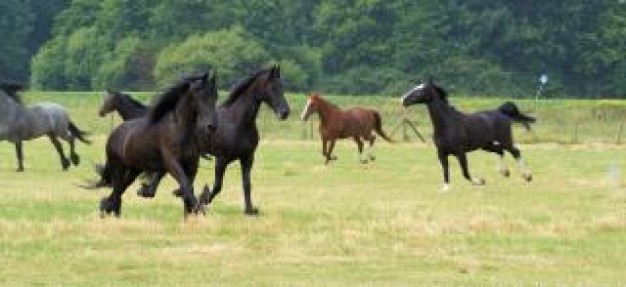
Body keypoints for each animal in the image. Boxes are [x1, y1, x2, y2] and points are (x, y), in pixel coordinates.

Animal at [90, 73, 217, 218]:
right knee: (117, 193)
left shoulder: (192, 165)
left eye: (215, 96)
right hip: (118, 168)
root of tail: (113, 134)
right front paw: (199, 209)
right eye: (201, 96)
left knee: (120, 190)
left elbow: (187, 187)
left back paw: (106, 207)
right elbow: (185, 185)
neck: (178, 128)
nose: (212, 126)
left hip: (133, 170)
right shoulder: (172, 163)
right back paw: (109, 210)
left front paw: (191, 213)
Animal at [139, 64, 290, 216]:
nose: (285, 113)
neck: (237, 122)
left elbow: (246, 184)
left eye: (282, 86)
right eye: (272, 88)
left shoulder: (247, 158)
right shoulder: (222, 159)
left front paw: (249, 210)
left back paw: (151, 191)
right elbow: (218, 185)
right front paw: (203, 200)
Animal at [400, 79, 532, 192]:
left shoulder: (460, 152)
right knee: (500, 151)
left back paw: (527, 176)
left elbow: (465, 173)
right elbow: (445, 170)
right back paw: (505, 172)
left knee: (515, 152)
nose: (402, 100)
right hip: (486, 145)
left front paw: (480, 181)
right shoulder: (441, 153)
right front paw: (445, 188)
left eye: (421, 90)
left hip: (505, 140)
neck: (447, 123)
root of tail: (501, 112)